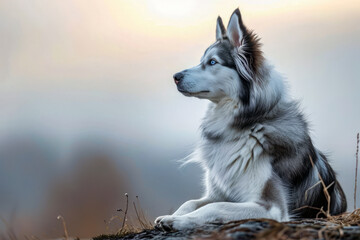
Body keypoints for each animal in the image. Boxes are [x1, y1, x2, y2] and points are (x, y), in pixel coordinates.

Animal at [154, 8, 346, 232]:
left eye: (212, 62)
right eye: (203, 60)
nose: (175, 77)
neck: (244, 126)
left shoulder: (271, 207)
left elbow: (215, 207)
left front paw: (177, 221)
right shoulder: (217, 192)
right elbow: (191, 202)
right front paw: (171, 216)